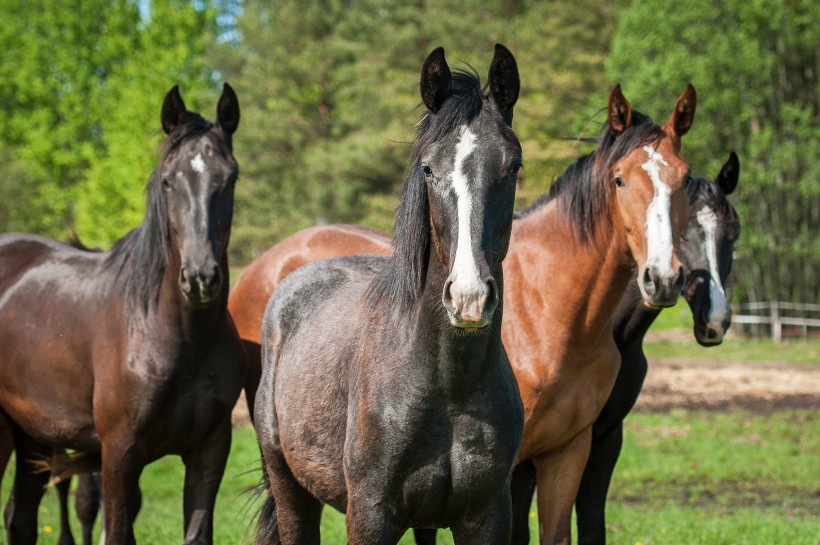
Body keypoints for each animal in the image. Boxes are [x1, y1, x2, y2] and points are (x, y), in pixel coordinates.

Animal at [0, 84, 245, 544]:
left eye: (231, 177)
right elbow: (114, 530)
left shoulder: (209, 450)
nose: (201, 278)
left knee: (21, 519)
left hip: (33, 436)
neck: (179, 337)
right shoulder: (119, 451)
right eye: (167, 180)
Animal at [255, 43, 524, 544]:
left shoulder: (487, 515)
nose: (469, 297)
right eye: (428, 168)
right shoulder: (371, 515)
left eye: (513, 165)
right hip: (290, 490)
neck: (448, 385)